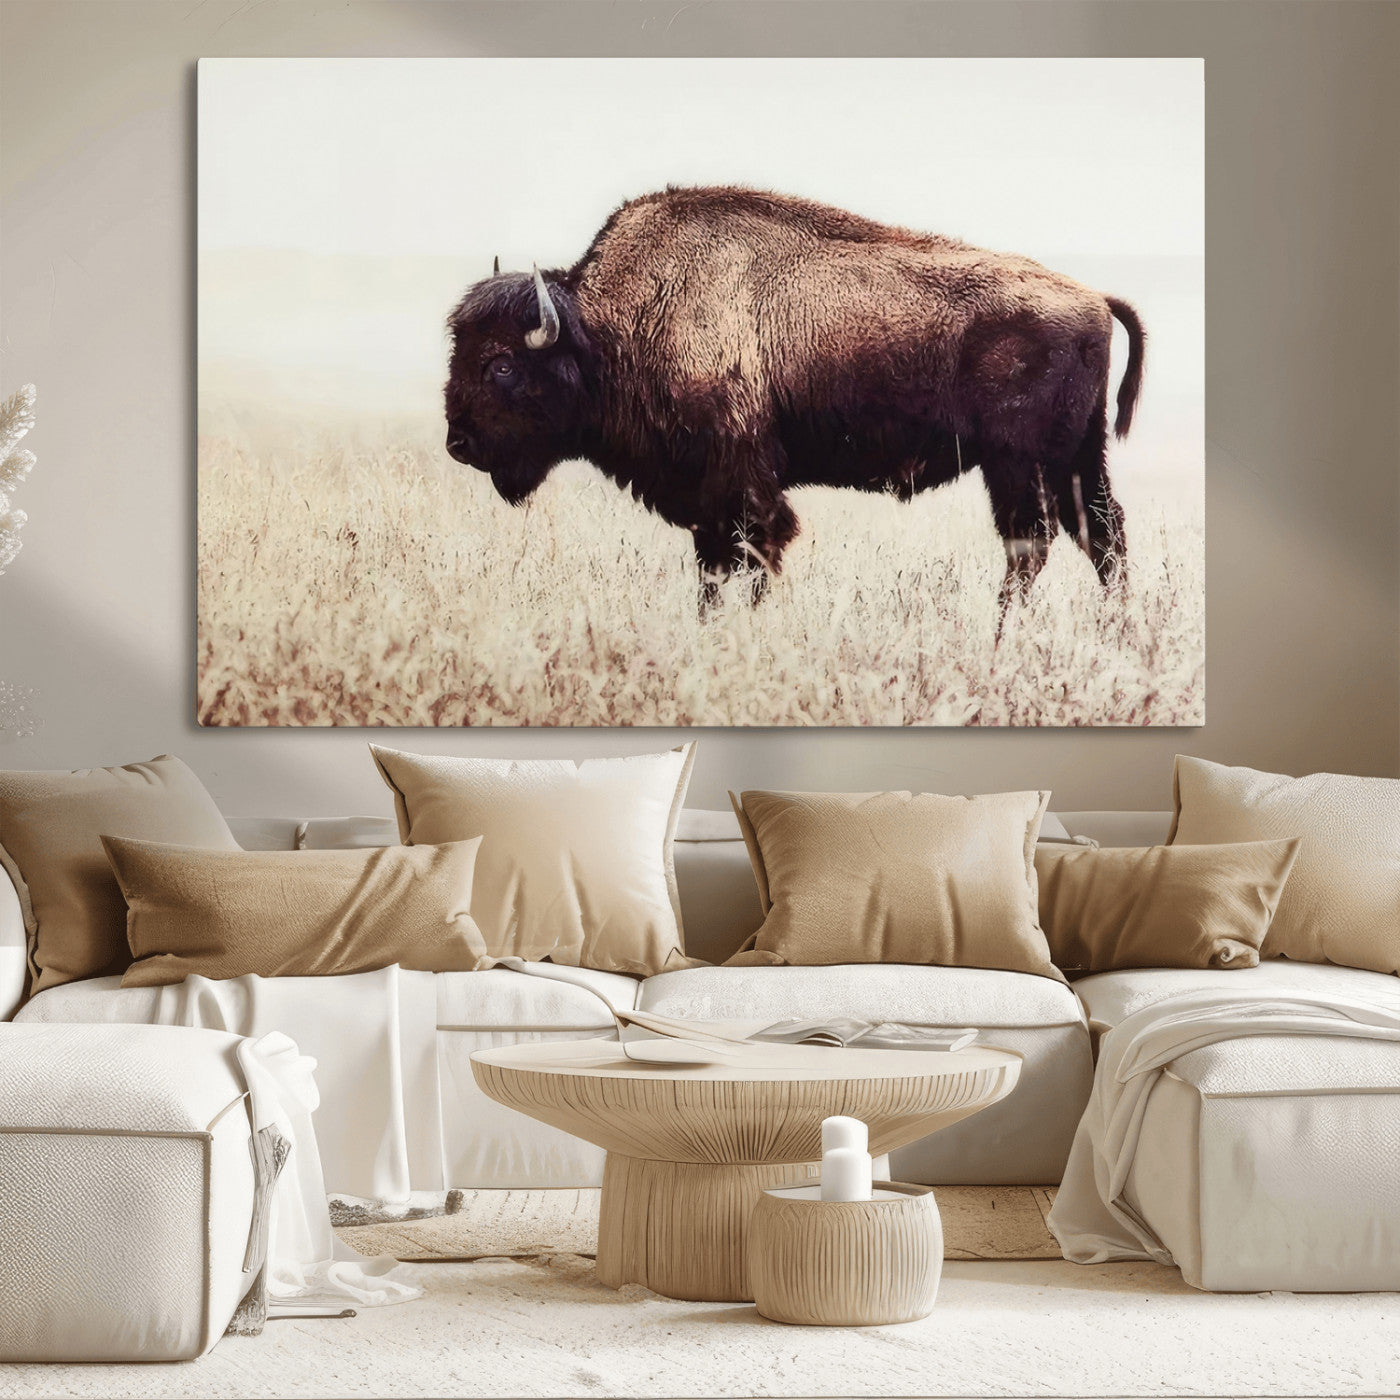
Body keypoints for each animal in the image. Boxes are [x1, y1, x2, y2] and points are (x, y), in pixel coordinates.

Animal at [445, 186, 1144, 611]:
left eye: (501, 364)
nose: (458, 443)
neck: (610, 328)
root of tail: (1093, 298)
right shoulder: (710, 502)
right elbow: (714, 569)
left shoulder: (743, 486)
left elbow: (753, 556)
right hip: (1077, 460)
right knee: (1101, 538)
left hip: (1018, 465)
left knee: (1033, 544)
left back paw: (1000, 638)